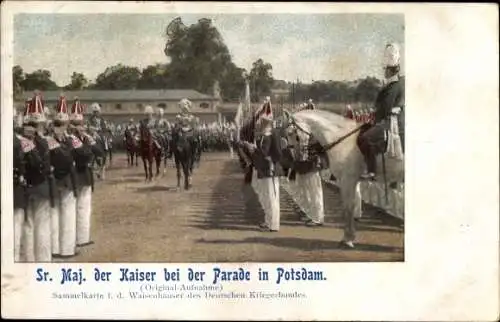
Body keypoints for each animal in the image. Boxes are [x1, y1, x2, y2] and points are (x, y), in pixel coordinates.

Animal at [284, 109, 404, 248]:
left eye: (292, 133)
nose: (298, 158)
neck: (342, 140)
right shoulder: (348, 181)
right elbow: (348, 206)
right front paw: (348, 236)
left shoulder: (348, 180)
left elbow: (348, 207)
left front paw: (348, 238)